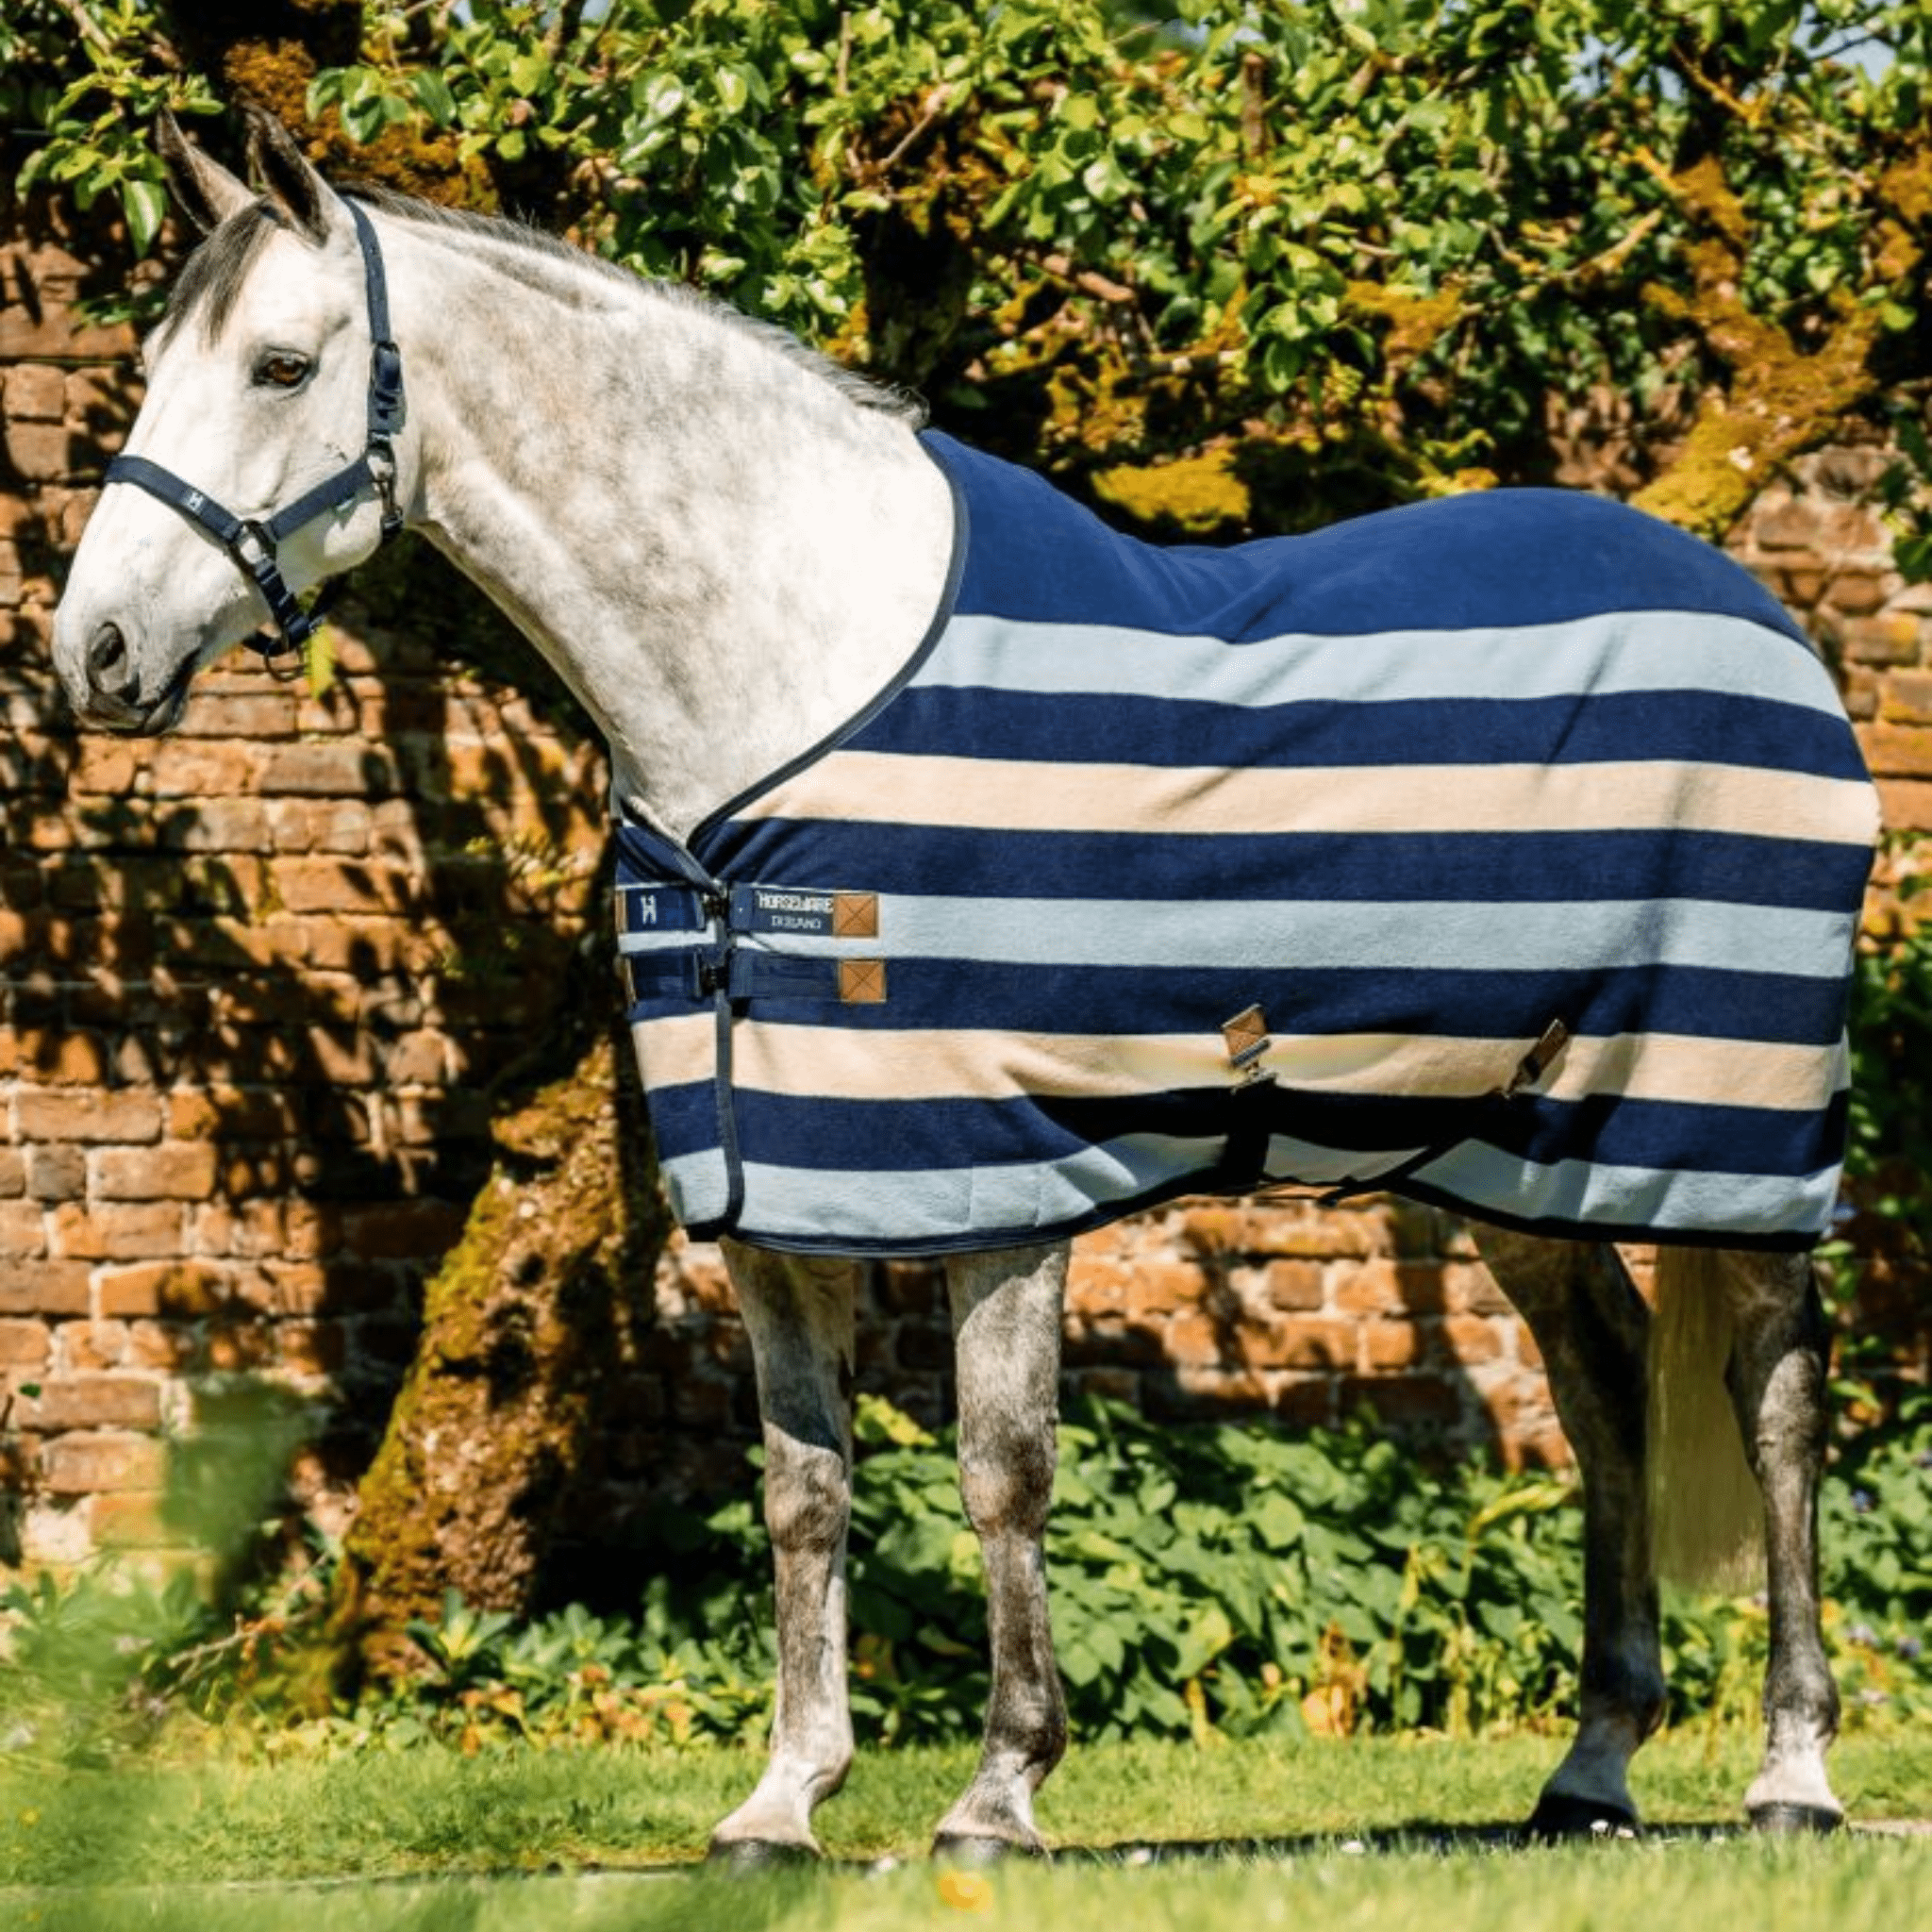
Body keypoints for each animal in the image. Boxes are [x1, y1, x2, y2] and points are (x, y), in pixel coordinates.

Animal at [51, 112, 1876, 1858]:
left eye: (282, 365)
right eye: (150, 361)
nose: (95, 653)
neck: (793, 675)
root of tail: (1758, 616)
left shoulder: (1004, 1171)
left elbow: (1004, 1472)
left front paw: (997, 1790)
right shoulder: (775, 1189)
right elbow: (803, 1490)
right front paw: (781, 1800)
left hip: (1731, 1121)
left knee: (1776, 1400)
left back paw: (1792, 1773)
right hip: (1503, 1139)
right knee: (1604, 1383)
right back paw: (1591, 1768)